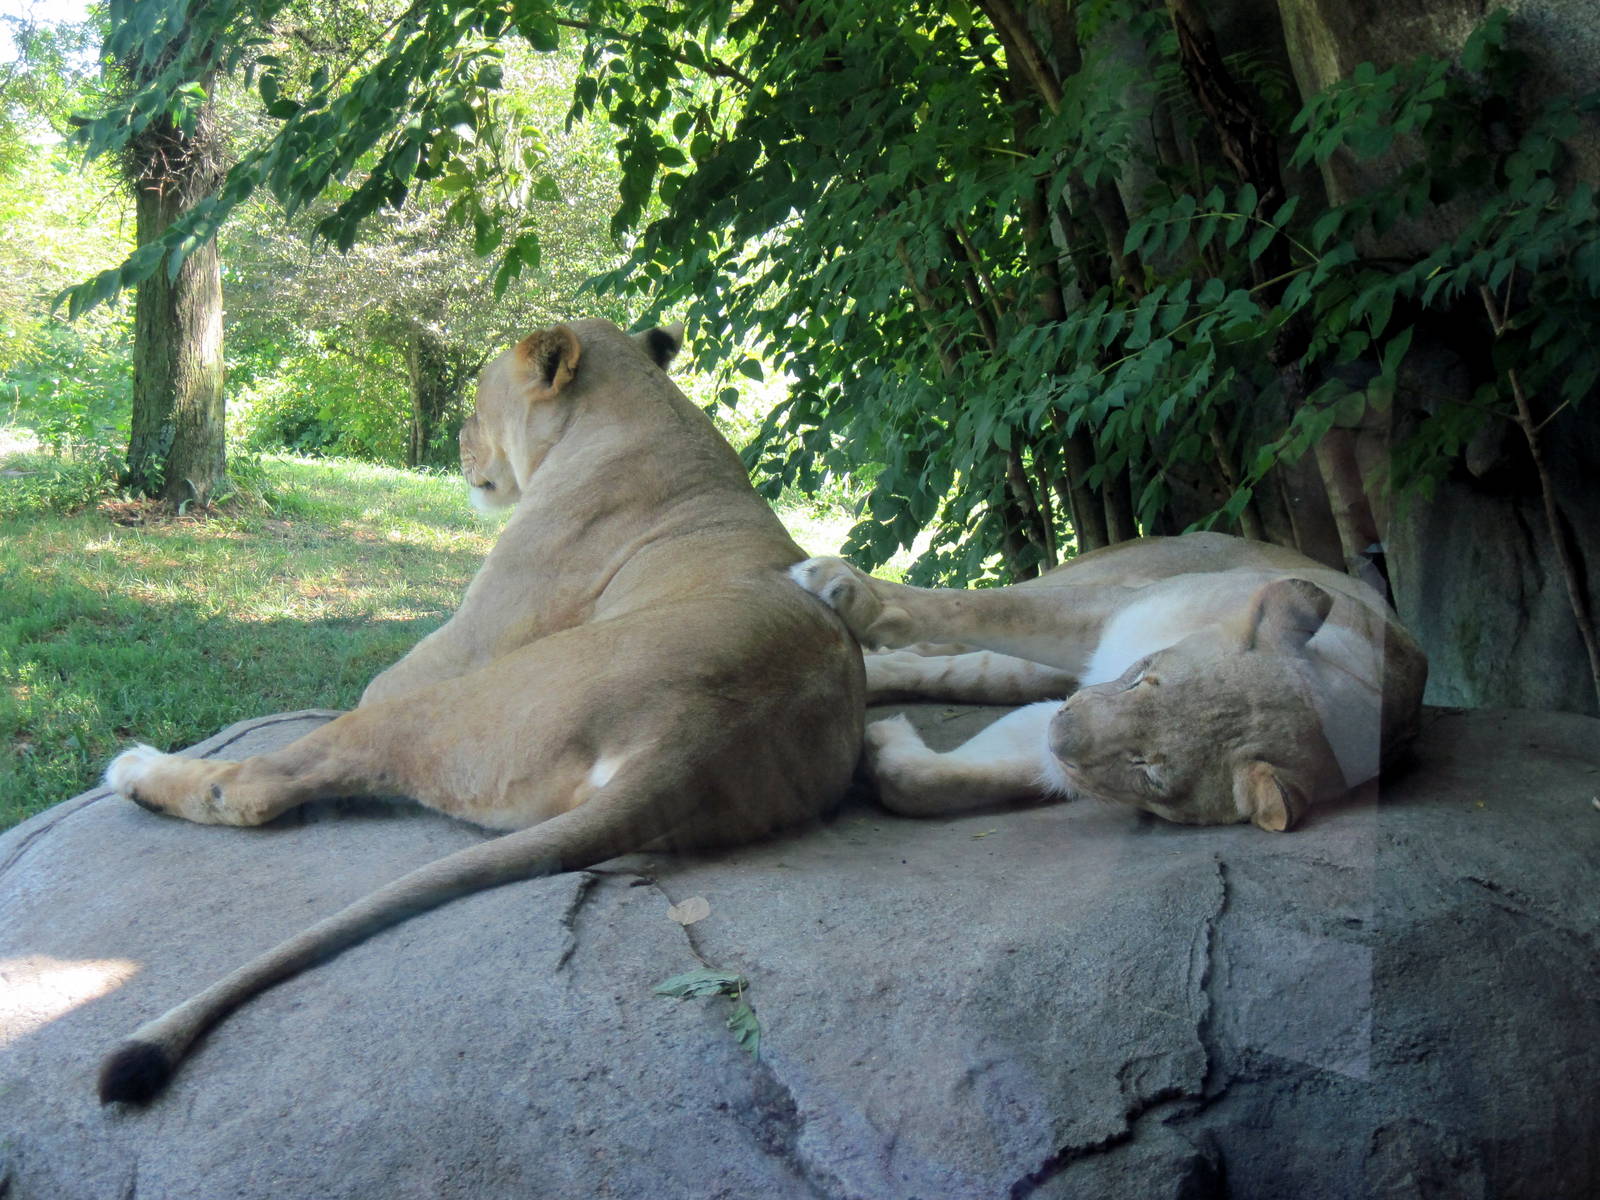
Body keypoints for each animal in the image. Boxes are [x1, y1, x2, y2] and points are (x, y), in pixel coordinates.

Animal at [97, 319, 865, 1104]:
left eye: (476, 400)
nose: (458, 441)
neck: (636, 408)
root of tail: (691, 751)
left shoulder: (474, 635)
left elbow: (378, 682)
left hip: (443, 710)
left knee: (257, 786)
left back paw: (138, 770)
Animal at [790, 533, 1426, 830]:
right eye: (1147, 679)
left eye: (1149, 773)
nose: (1062, 727)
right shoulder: (1106, 608)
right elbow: (983, 606)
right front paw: (849, 590)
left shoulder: (1071, 752)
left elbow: (928, 782)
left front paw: (882, 746)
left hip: (1023, 676)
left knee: (945, 667)